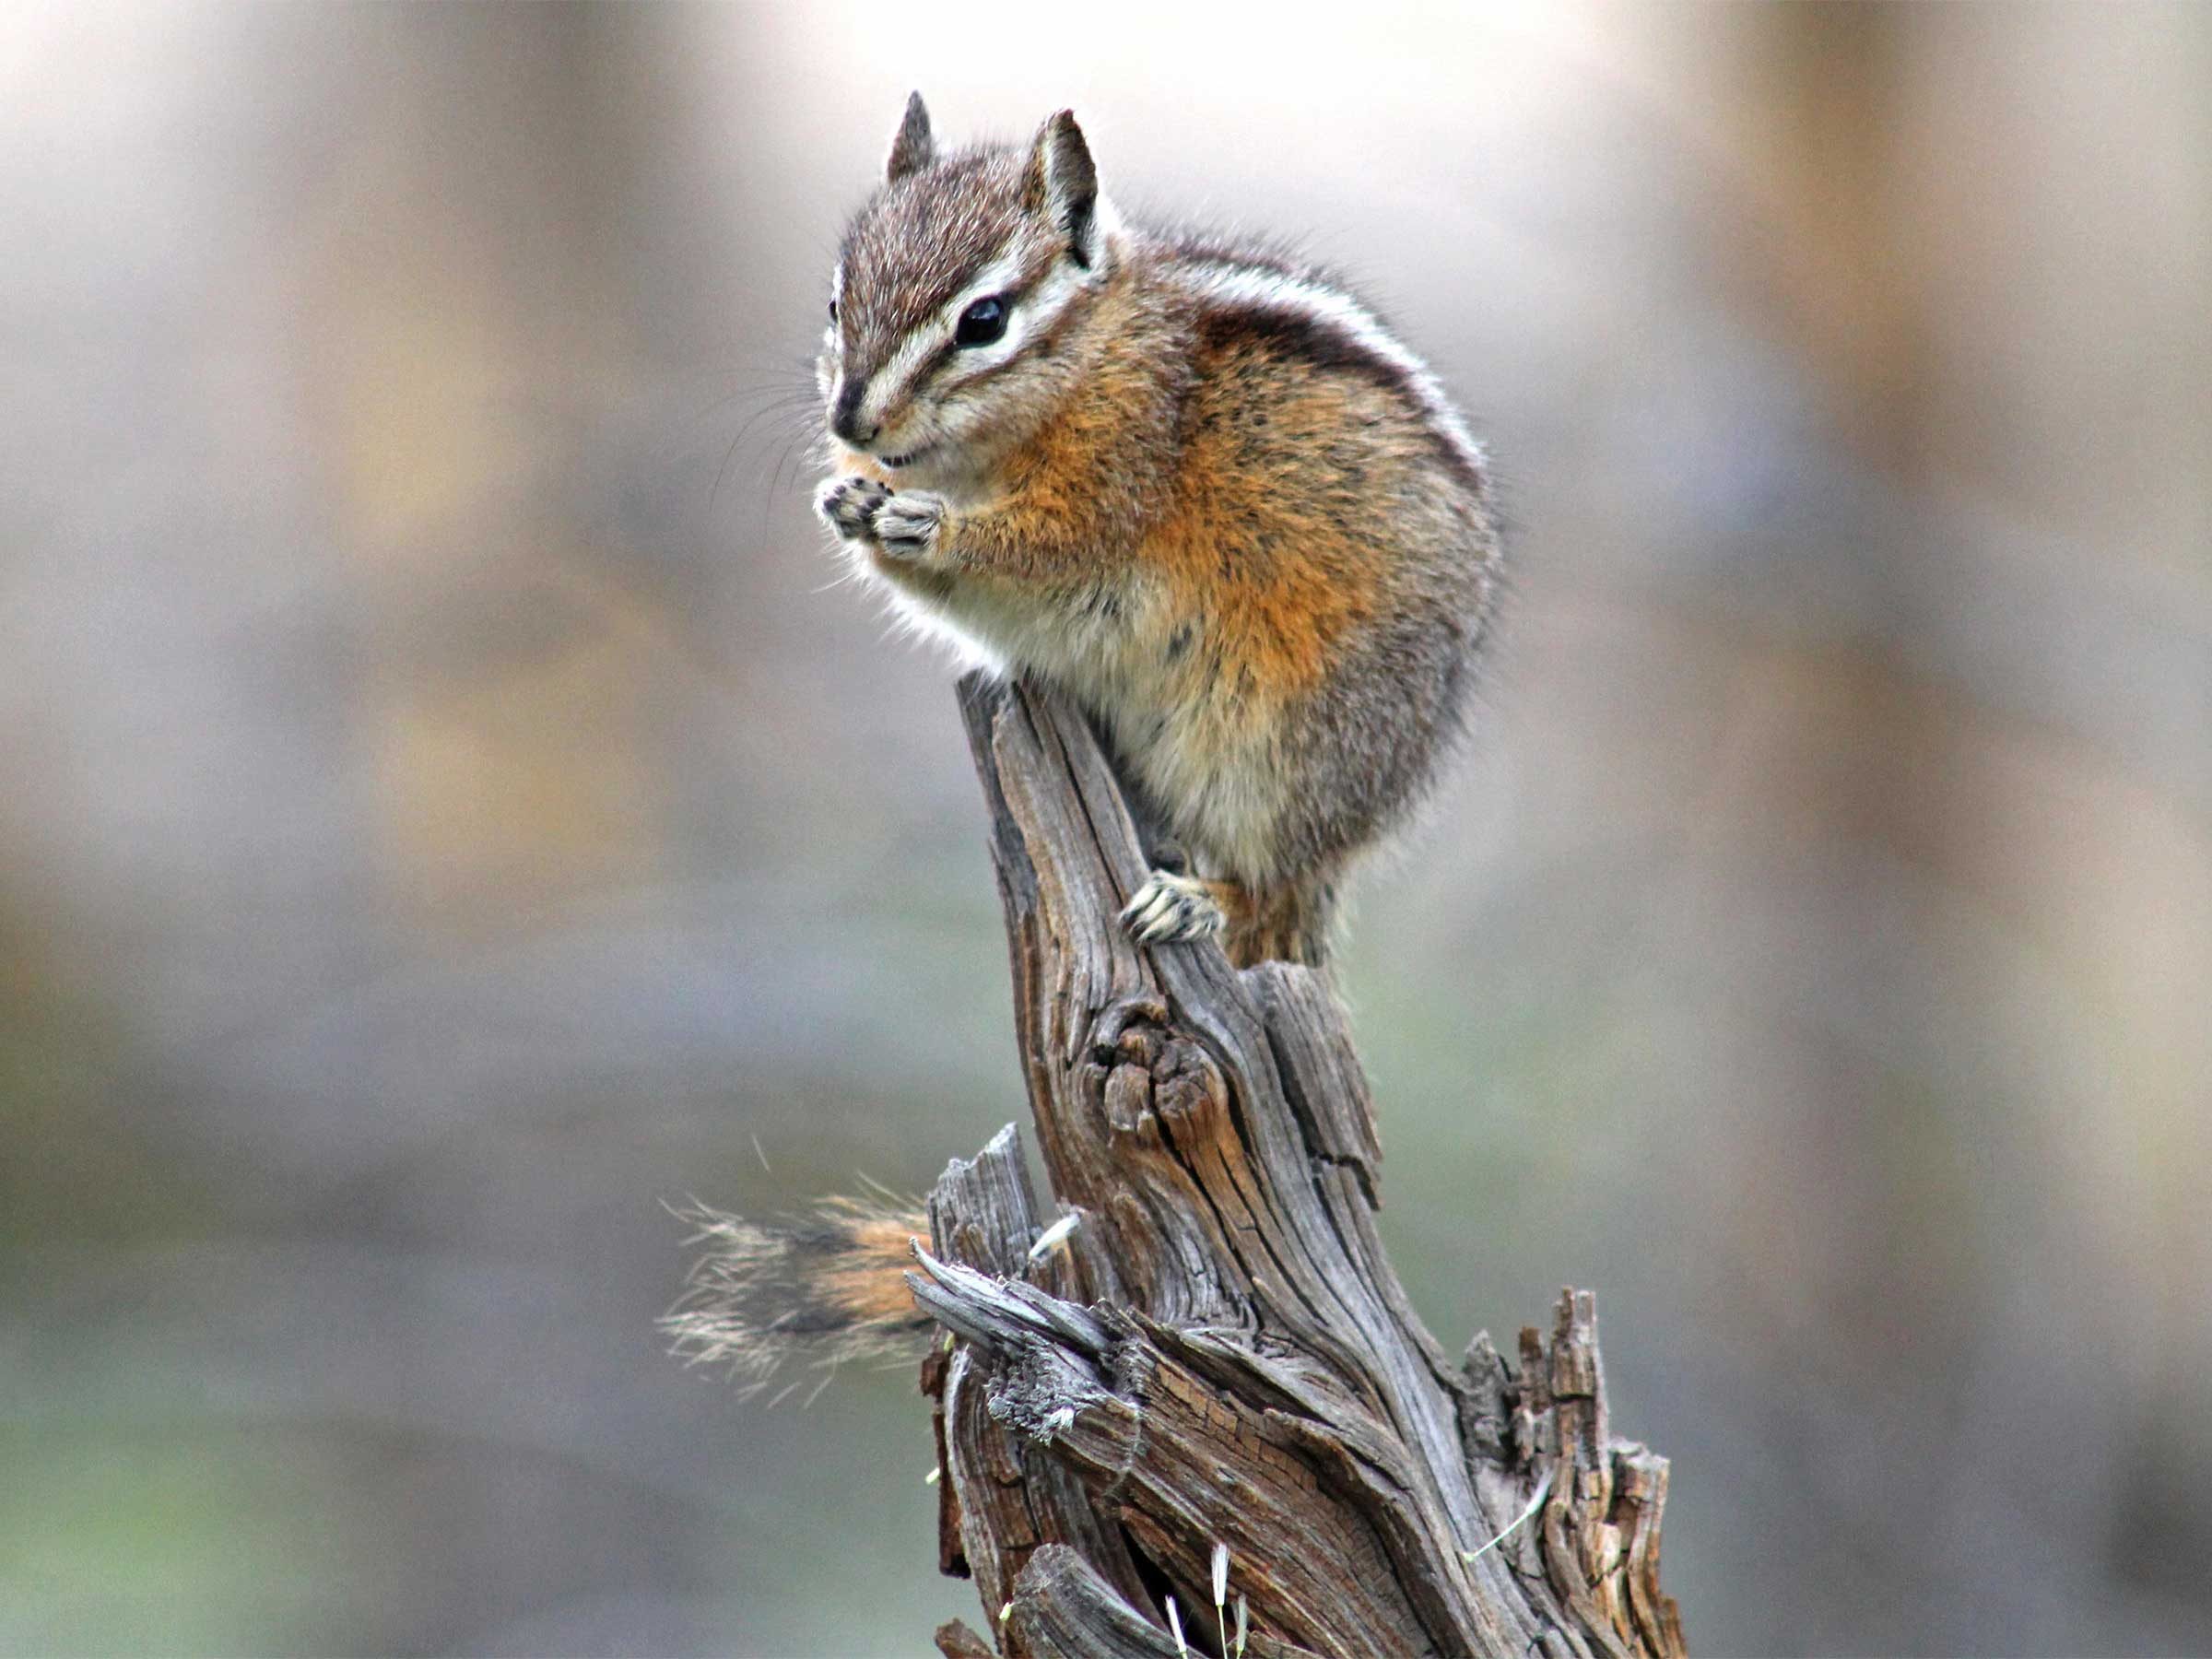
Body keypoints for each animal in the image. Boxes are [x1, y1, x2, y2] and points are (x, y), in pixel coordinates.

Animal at [667, 96, 1499, 1387]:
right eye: (836, 297)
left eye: (985, 320)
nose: (852, 419)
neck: (1077, 364)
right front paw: (848, 499)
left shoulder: (1114, 478)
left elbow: (1042, 547)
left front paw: (924, 523)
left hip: (1277, 741)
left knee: (1265, 869)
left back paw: (1194, 898)